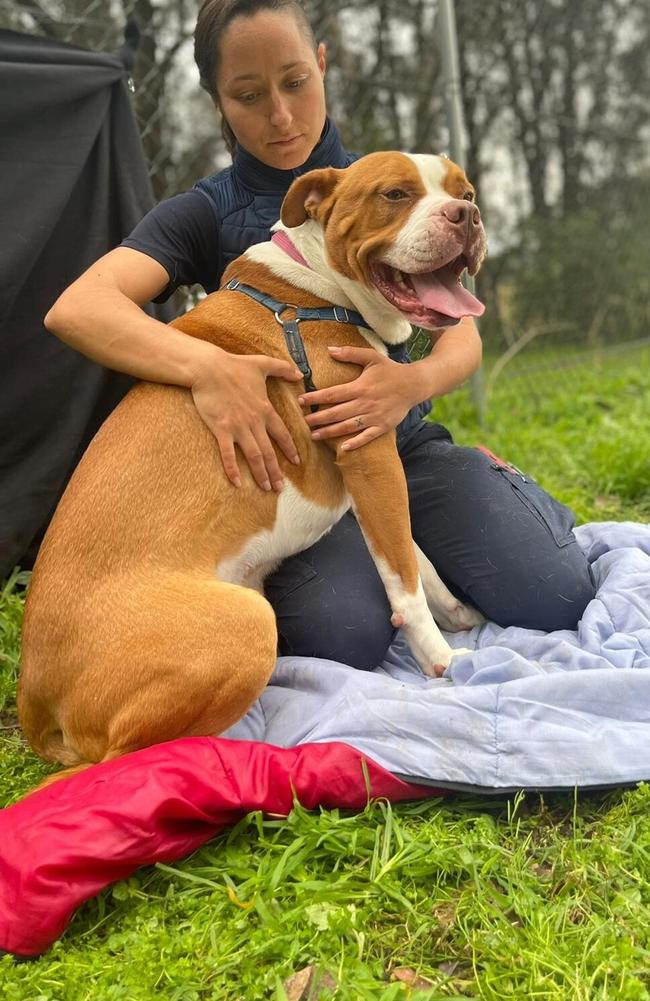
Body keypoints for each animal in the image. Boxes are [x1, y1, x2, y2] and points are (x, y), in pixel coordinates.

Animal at [17, 150, 484, 780]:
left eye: (466, 191)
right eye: (395, 194)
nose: (468, 215)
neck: (314, 289)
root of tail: (31, 696)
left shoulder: (372, 473)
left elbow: (413, 556)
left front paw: (456, 613)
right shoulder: (368, 452)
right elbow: (403, 582)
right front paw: (439, 658)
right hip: (246, 625)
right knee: (119, 761)